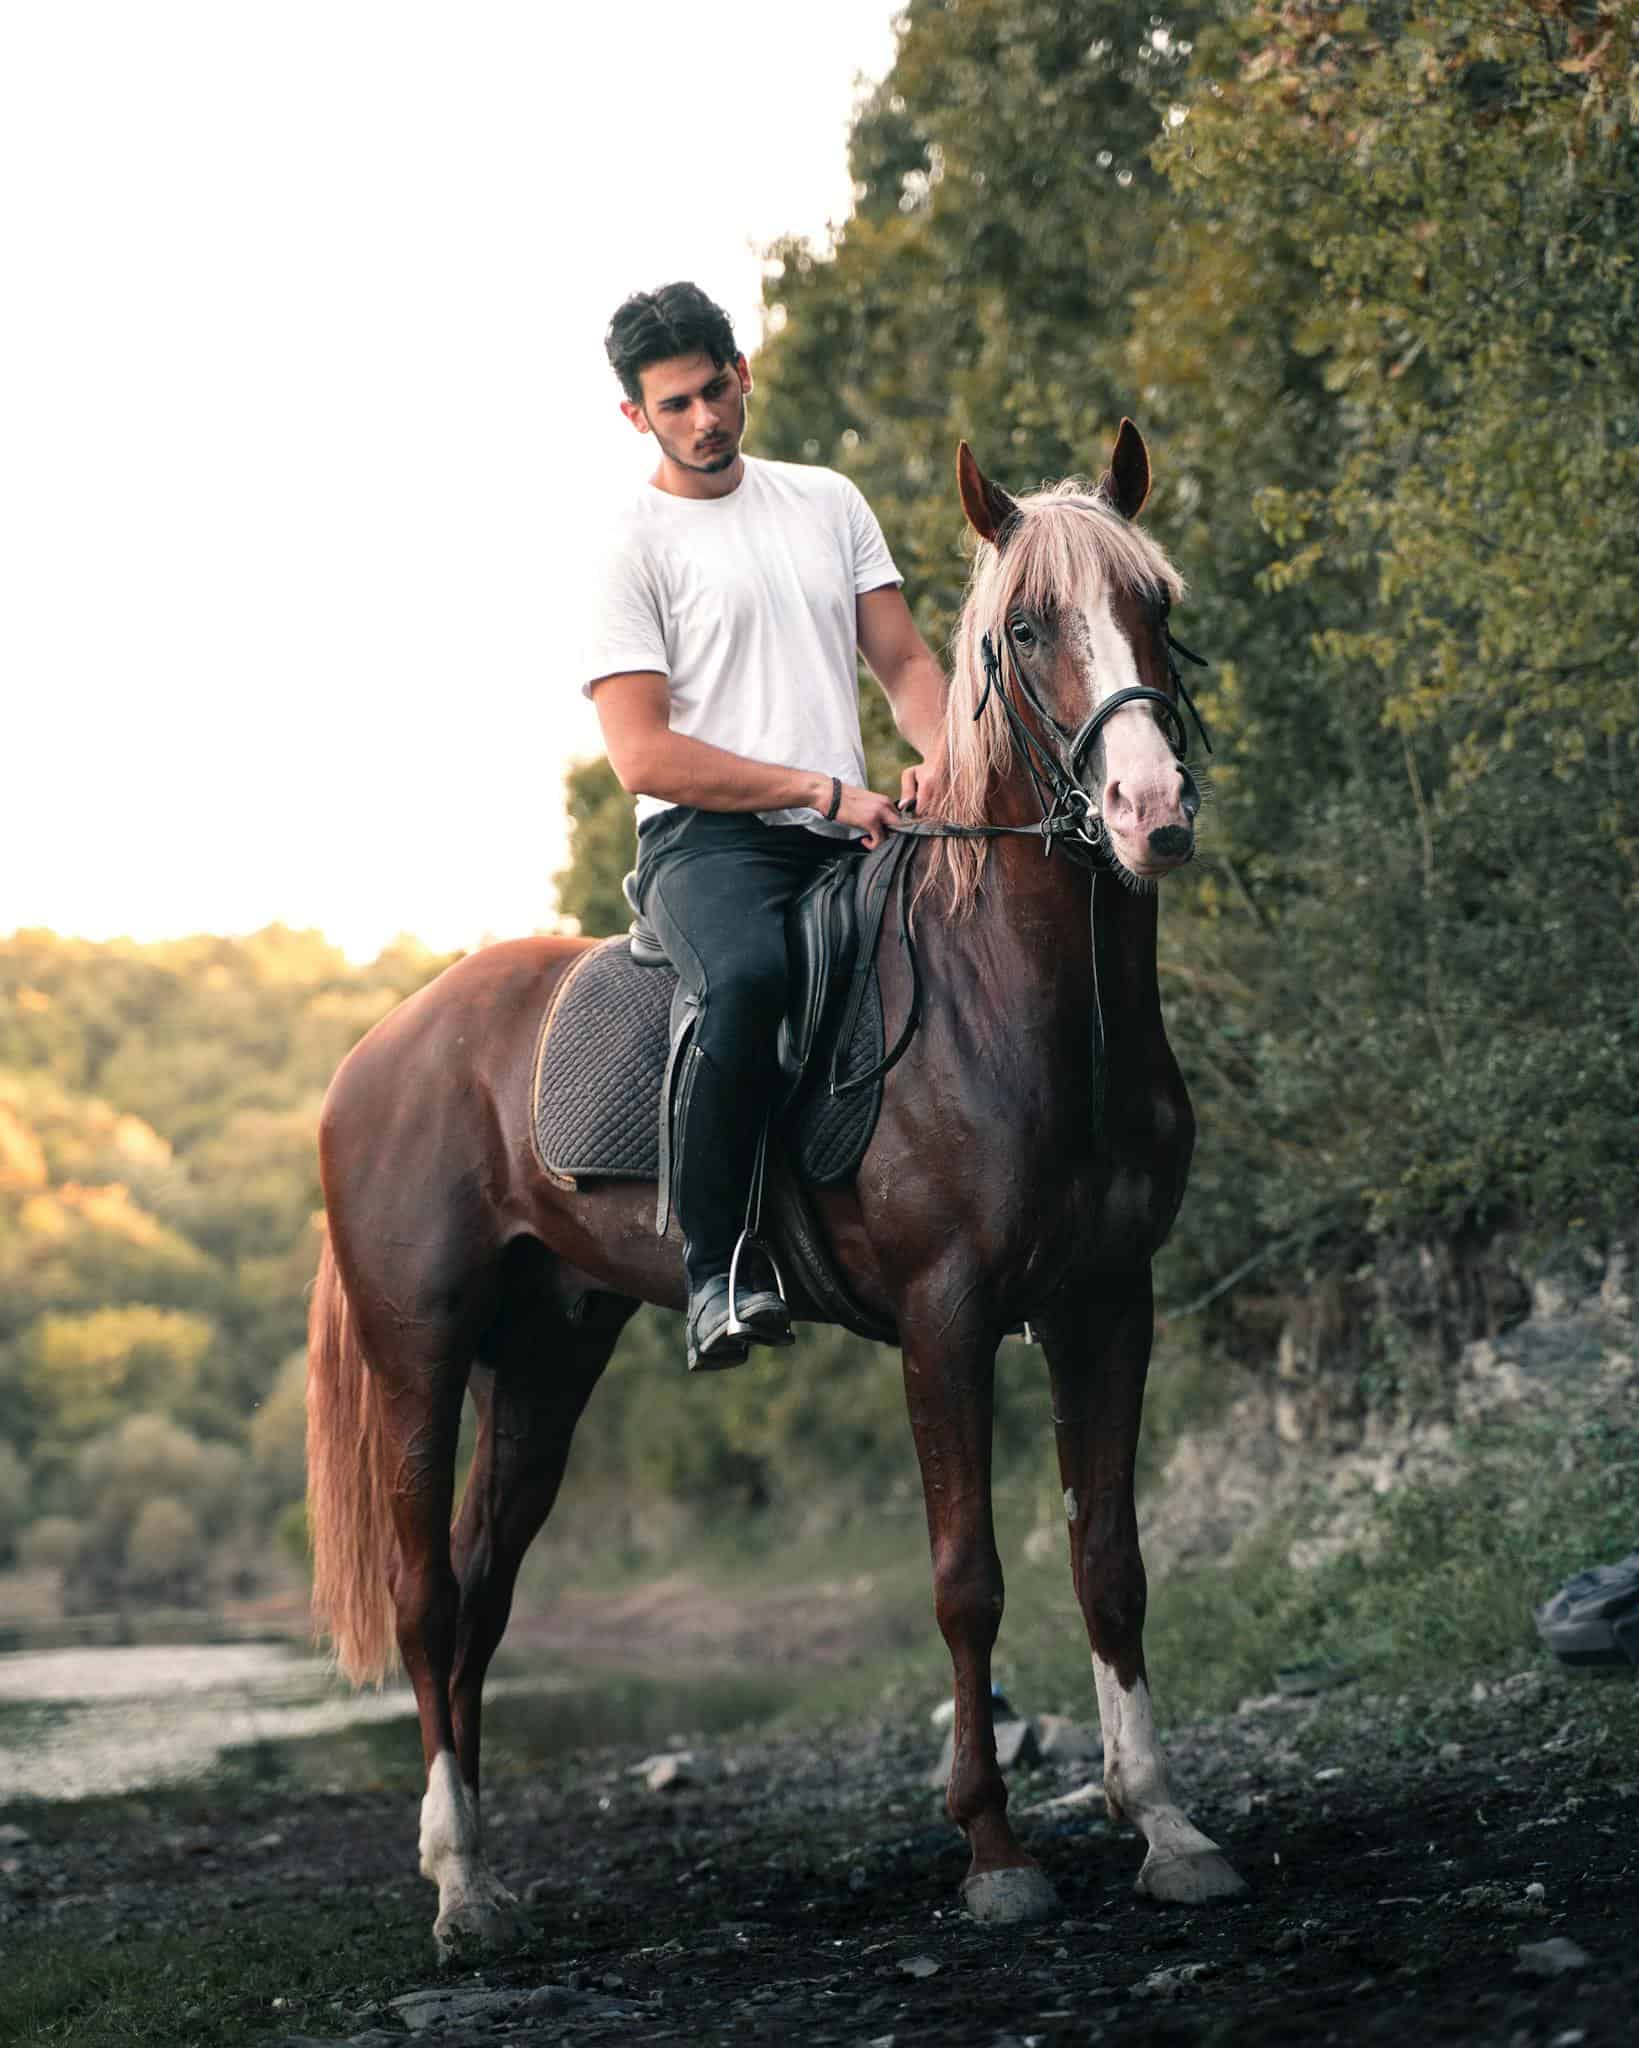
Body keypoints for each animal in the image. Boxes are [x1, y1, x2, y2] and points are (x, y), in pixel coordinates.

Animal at [303, 415, 1245, 1949]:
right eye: (1026, 625)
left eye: (1151, 603)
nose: (1146, 810)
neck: (1016, 1002)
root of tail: (375, 1053)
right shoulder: (943, 1318)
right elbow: (967, 1581)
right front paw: (993, 1851)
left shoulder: (1110, 1300)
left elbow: (1109, 1560)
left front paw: (1164, 1823)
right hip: (419, 1357)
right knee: (430, 1600)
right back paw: (456, 1889)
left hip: (546, 1356)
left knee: (485, 1591)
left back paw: (483, 1867)